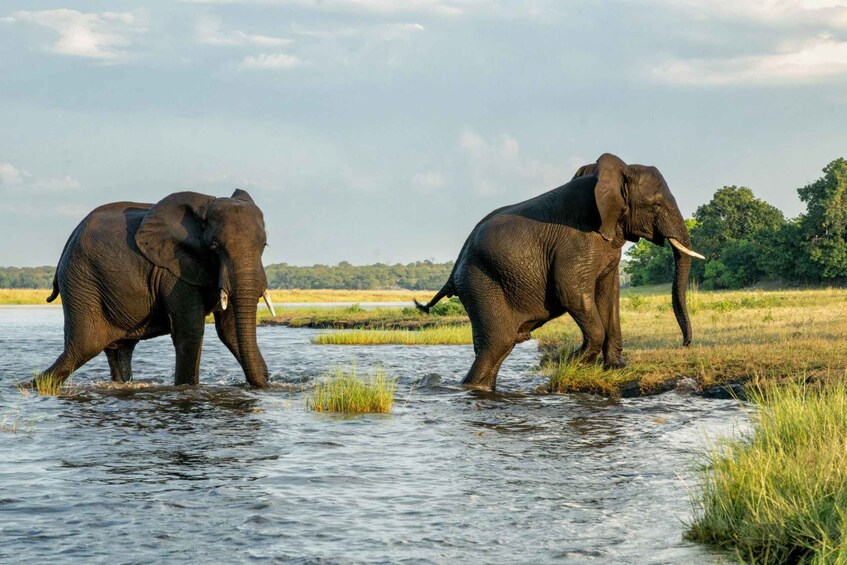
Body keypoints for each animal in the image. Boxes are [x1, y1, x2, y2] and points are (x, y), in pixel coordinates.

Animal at [37, 189, 276, 388]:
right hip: (81, 282)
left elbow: (230, 331)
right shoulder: (174, 271)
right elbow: (191, 330)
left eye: (264, 246)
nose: (266, 384)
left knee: (119, 350)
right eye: (215, 248)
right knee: (83, 348)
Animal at [415, 153, 704, 391]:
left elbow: (609, 296)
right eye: (656, 206)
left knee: (501, 346)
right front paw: (573, 362)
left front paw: (617, 368)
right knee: (498, 343)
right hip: (480, 281)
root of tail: (455, 269)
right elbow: (572, 292)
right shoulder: (577, 242)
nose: (685, 345)